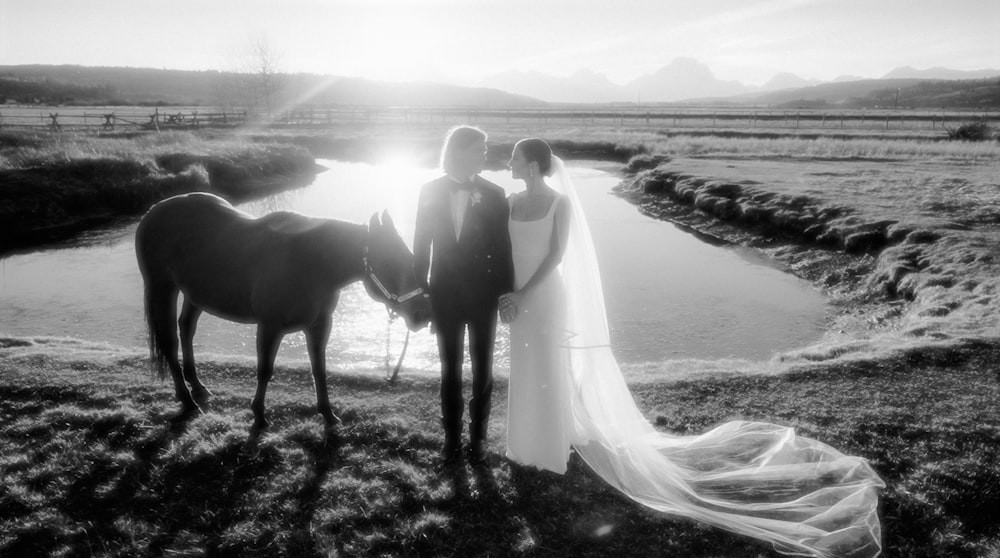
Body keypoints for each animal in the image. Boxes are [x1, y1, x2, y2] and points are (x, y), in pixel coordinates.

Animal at [133, 190, 430, 430]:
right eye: (391, 263)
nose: (422, 314)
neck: (309, 262)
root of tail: (152, 212)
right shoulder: (270, 326)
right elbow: (265, 370)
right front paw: (259, 416)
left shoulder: (319, 326)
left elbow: (319, 369)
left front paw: (328, 414)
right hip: (163, 288)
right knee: (170, 342)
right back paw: (187, 400)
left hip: (195, 294)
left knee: (186, 329)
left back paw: (198, 386)